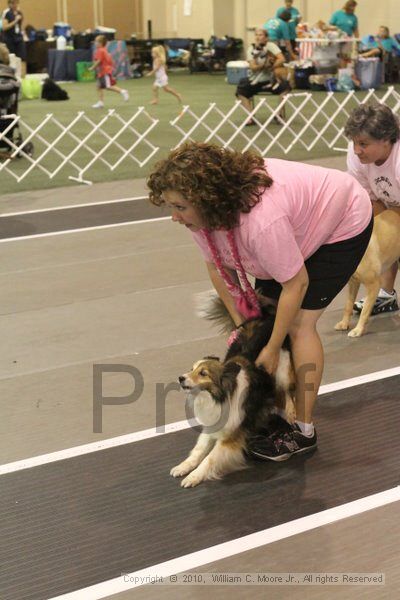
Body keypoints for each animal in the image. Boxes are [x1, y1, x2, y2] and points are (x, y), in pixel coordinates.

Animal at [170, 294, 296, 488]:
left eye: (203, 373)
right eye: (192, 368)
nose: (180, 378)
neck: (218, 398)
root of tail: (265, 316)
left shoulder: (230, 437)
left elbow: (209, 459)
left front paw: (194, 477)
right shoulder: (211, 426)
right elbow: (198, 450)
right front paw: (183, 467)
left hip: (282, 367)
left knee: (287, 390)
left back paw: (289, 411)